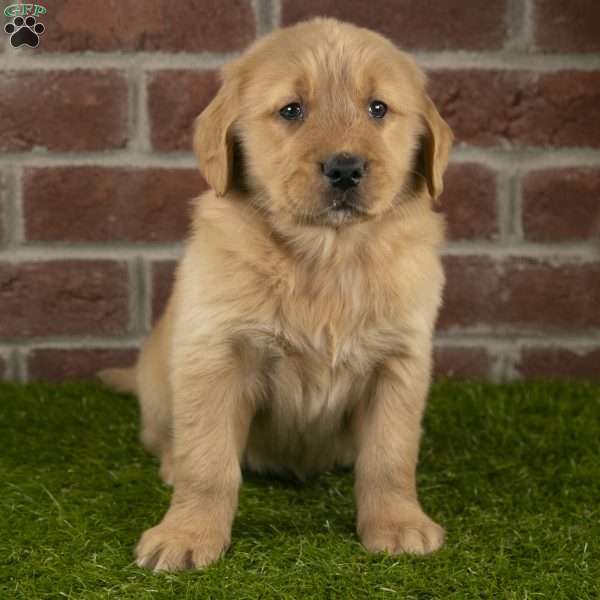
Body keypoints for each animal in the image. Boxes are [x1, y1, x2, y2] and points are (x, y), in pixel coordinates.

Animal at [101, 17, 452, 572]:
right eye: (292, 110)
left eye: (378, 108)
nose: (345, 168)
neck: (326, 256)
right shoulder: (215, 354)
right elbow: (209, 461)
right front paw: (186, 533)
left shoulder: (400, 362)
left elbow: (390, 457)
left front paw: (398, 524)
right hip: (159, 383)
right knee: (165, 438)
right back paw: (172, 464)